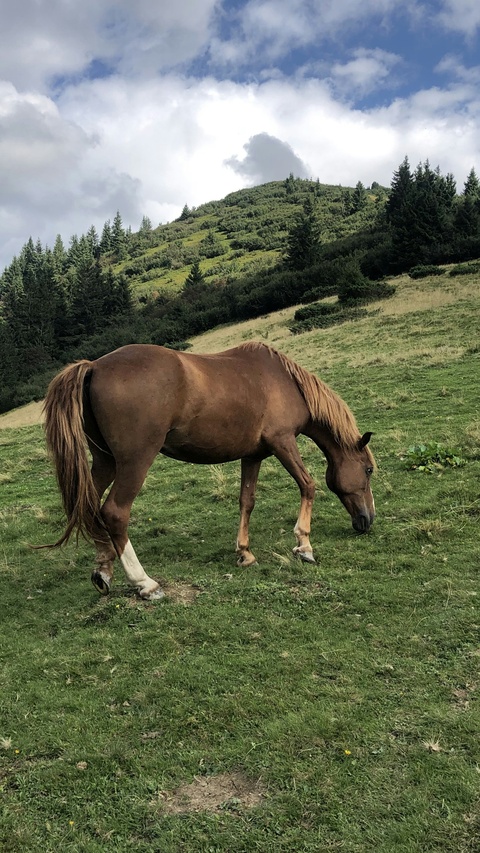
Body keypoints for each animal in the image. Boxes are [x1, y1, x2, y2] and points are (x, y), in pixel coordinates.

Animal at [42, 341, 375, 600]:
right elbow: (308, 485)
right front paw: (304, 545)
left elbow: (247, 501)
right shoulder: (283, 442)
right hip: (134, 462)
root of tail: (94, 366)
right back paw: (145, 583)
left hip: (105, 461)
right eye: (369, 470)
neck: (285, 381)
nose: (368, 520)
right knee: (114, 512)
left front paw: (244, 553)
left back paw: (103, 571)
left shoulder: (253, 455)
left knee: (89, 506)